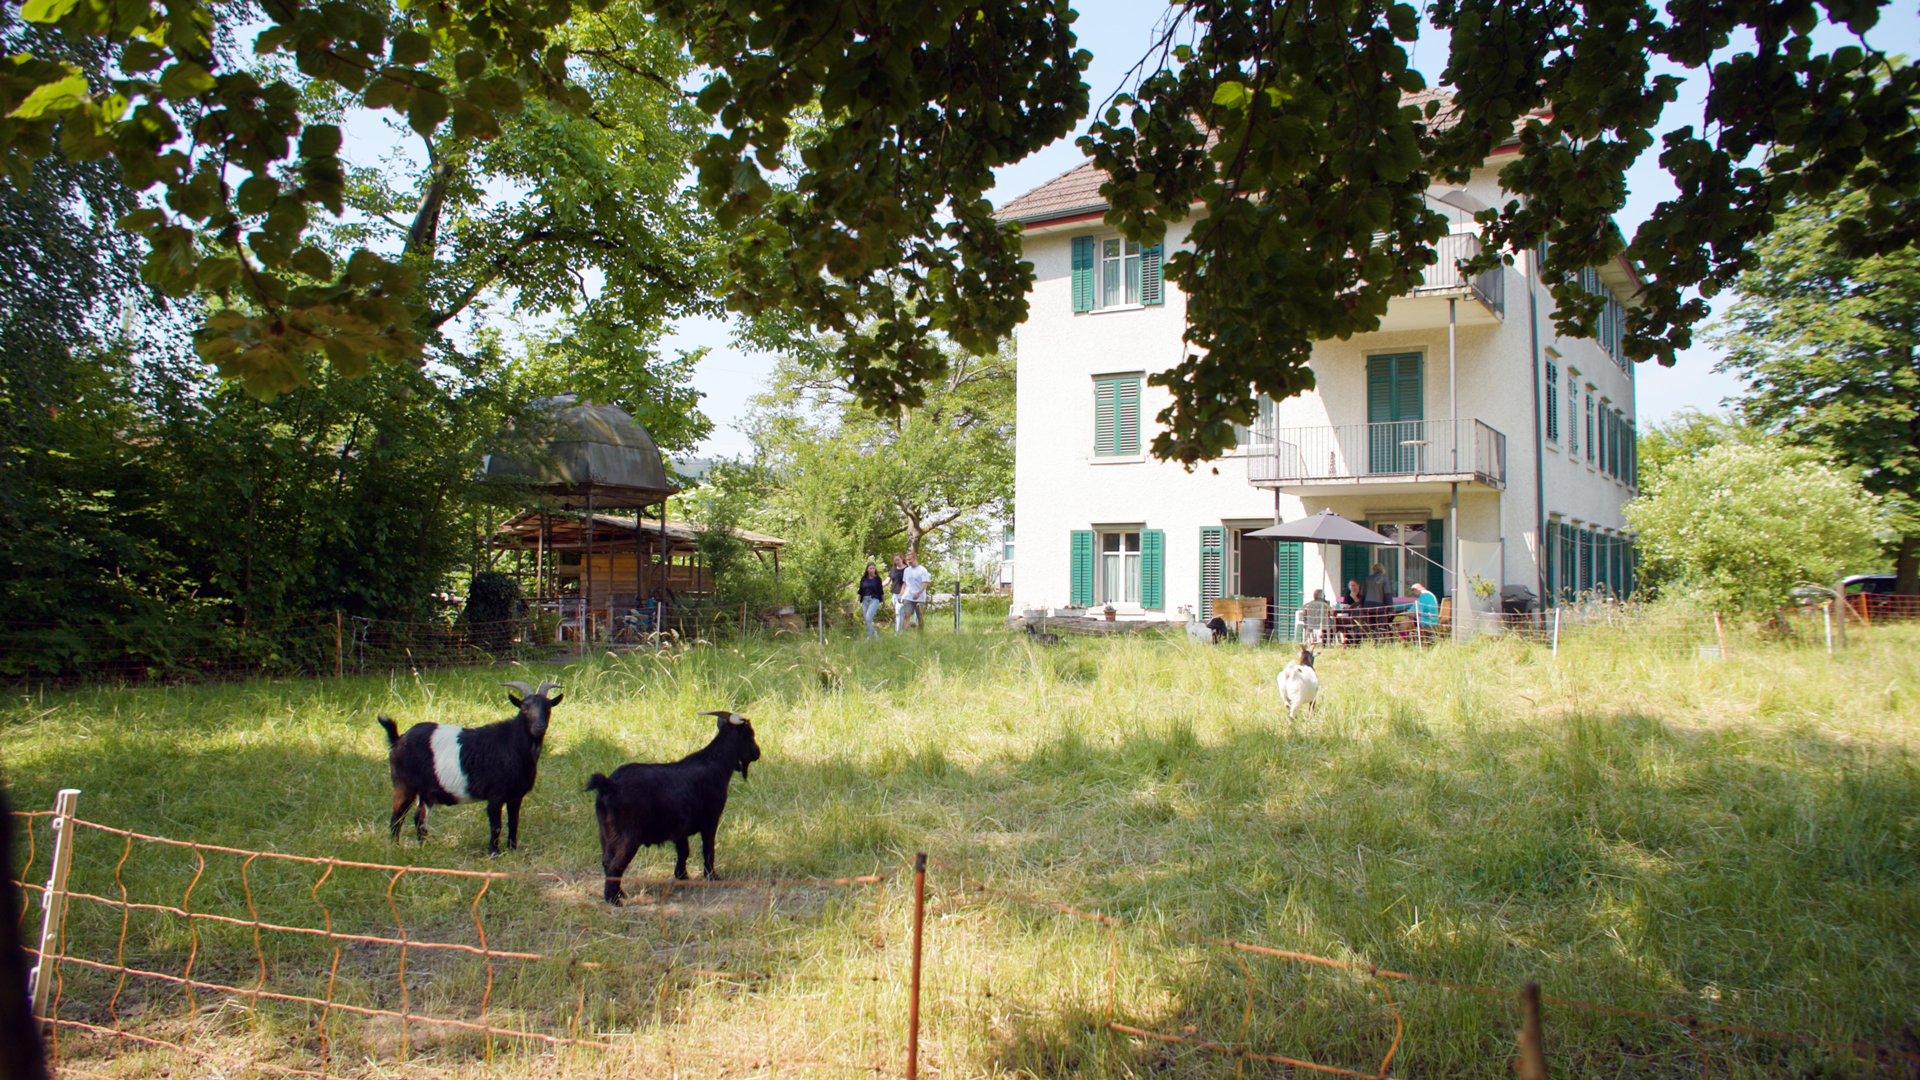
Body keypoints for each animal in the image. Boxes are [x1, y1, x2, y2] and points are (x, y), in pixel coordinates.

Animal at [587, 707, 760, 899]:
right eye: (750, 734)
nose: (757, 753)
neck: (715, 762)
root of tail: (610, 784)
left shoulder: (680, 828)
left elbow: (684, 850)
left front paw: (682, 876)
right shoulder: (710, 819)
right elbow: (708, 849)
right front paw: (712, 876)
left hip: (606, 833)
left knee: (606, 861)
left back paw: (620, 894)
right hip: (629, 835)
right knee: (616, 864)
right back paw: (614, 900)